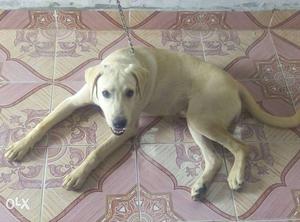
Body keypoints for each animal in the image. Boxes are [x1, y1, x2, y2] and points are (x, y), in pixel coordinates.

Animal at [5, 47, 300, 200]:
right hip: (195, 122)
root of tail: (236, 83)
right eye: (105, 93)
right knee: (215, 159)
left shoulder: (128, 128)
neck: (123, 60)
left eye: (130, 92)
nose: (119, 121)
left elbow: (97, 150)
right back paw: (201, 186)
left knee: (242, 147)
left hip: (202, 119)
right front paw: (20, 145)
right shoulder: (74, 101)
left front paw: (78, 173)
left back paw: (236, 175)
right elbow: (44, 123)